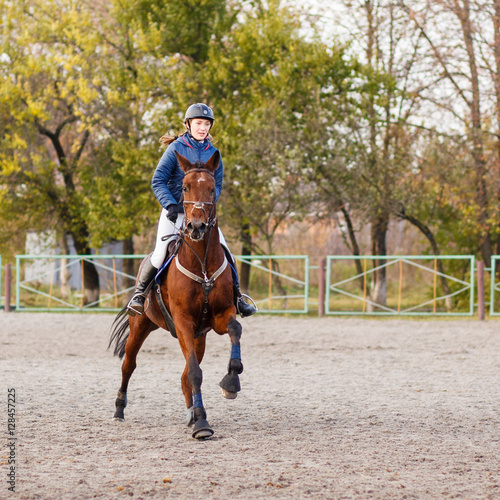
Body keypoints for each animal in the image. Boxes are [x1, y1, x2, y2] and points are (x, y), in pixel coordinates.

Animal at [108, 150, 243, 440]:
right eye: (184, 187)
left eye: (212, 188)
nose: (196, 226)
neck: (202, 264)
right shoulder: (182, 322)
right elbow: (195, 373)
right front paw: (203, 424)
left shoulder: (219, 316)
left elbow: (234, 329)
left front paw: (231, 382)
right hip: (141, 325)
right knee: (129, 365)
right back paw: (119, 410)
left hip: (199, 336)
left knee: (184, 375)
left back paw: (191, 414)